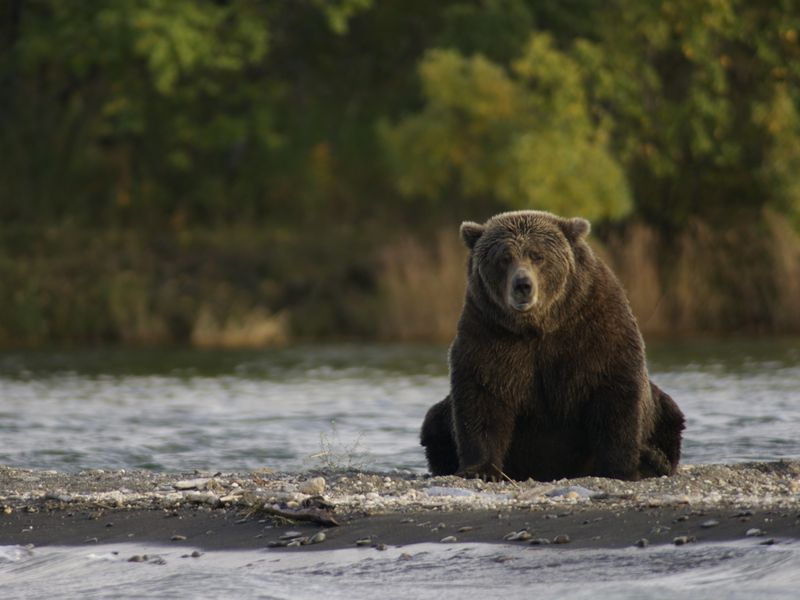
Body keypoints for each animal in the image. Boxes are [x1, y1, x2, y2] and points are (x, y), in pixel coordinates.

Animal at [422, 211, 684, 482]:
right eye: (504, 258)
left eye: (538, 255)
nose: (523, 285)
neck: (539, 326)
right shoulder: (488, 333)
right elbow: (482, 396)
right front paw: (481, 470)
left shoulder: (595, 328)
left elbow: (615, 394)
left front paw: (621, 468)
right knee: (434, 422)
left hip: (661, 411)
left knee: (670, 415)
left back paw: (653, 460)